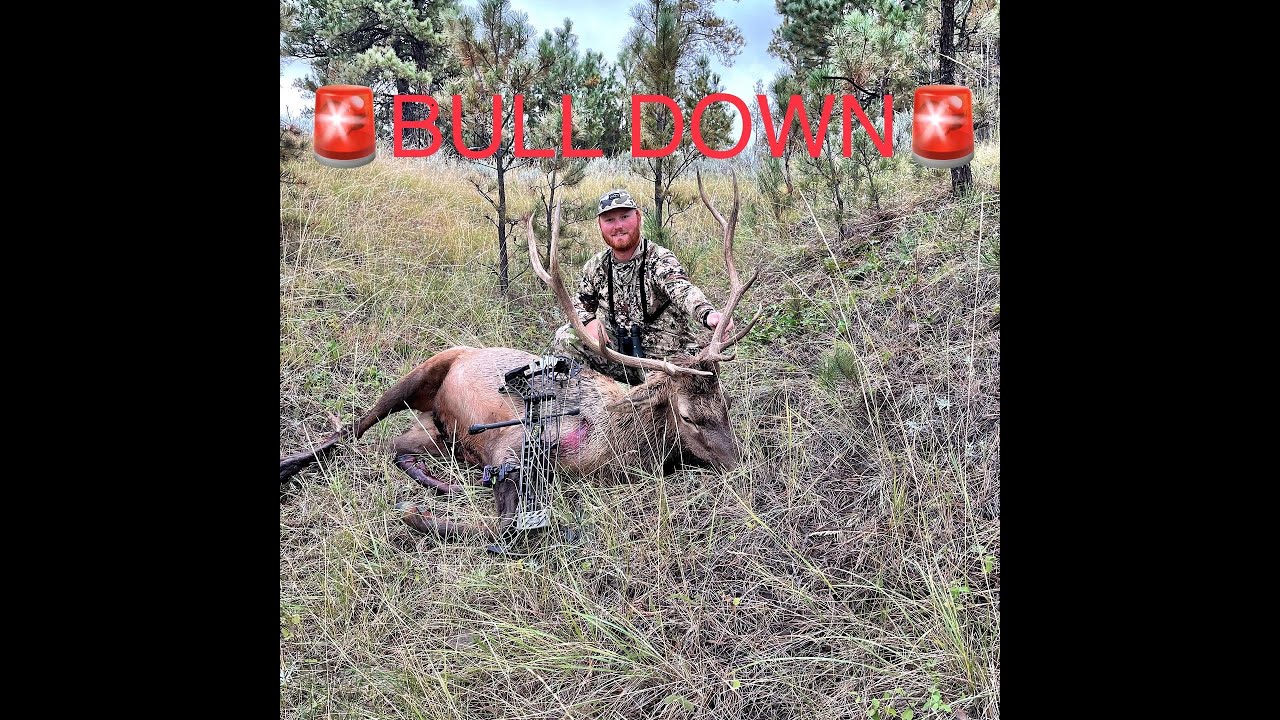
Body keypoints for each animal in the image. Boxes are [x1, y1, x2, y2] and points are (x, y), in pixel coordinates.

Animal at [279, 171, 760, 540]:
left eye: (726, 405)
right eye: (689, 417)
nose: (741, 467)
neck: (612, 444)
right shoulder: (509, 446)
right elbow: (509, 526)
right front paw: (416, 516)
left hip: (433, 430)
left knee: (398, 447)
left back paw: (445, 485)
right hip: (421, 373)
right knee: (353, 430)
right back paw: (290, 465)